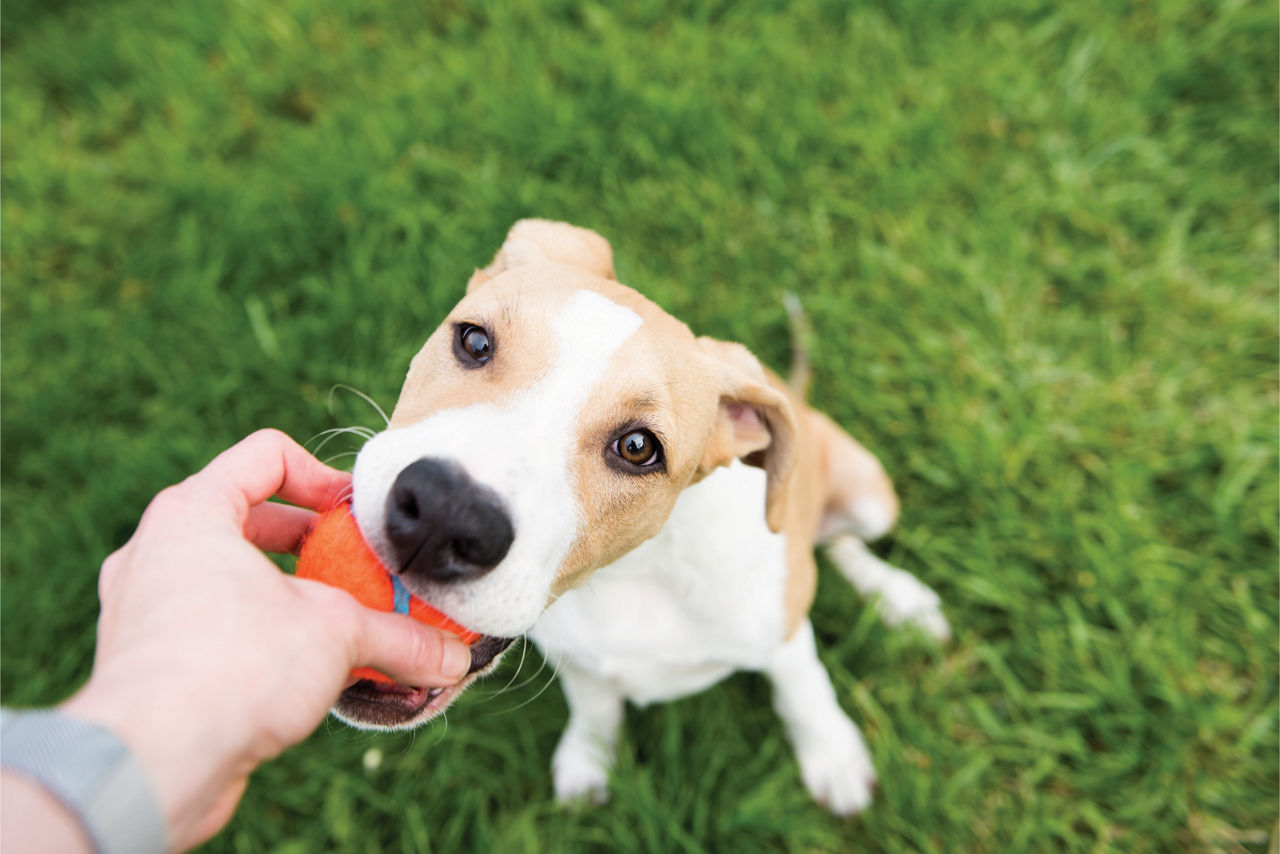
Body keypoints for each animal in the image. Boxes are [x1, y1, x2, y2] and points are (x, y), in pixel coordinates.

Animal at [340, 218, 952, 814]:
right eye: (474, 340)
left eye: (638, 448)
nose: (442, 515)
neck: (633, 574)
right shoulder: (578, 658)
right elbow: (596, 710)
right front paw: (588, 761)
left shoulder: (782, 635)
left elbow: (803, 691)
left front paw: (834, 758)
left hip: (869, 498)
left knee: (841, 544)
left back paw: (900, 600)